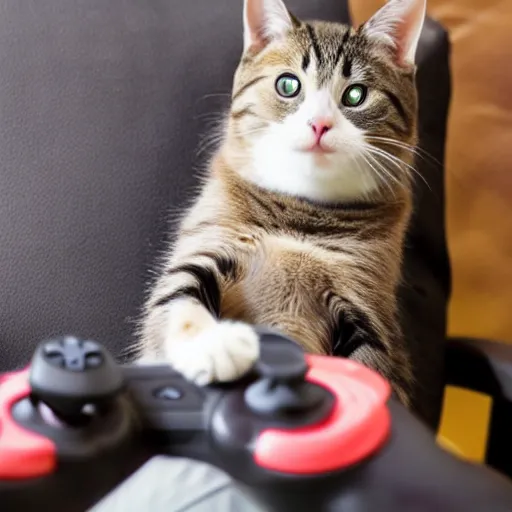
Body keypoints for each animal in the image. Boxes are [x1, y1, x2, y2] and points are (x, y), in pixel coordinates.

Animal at [134, 0, 426, 408]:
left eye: (356, 95)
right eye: (288, 85)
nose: (319, 124)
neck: (302, 210)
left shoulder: (367, 303)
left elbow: (371, 362)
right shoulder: (208, 241)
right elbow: (178, 294)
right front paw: (215, 347)